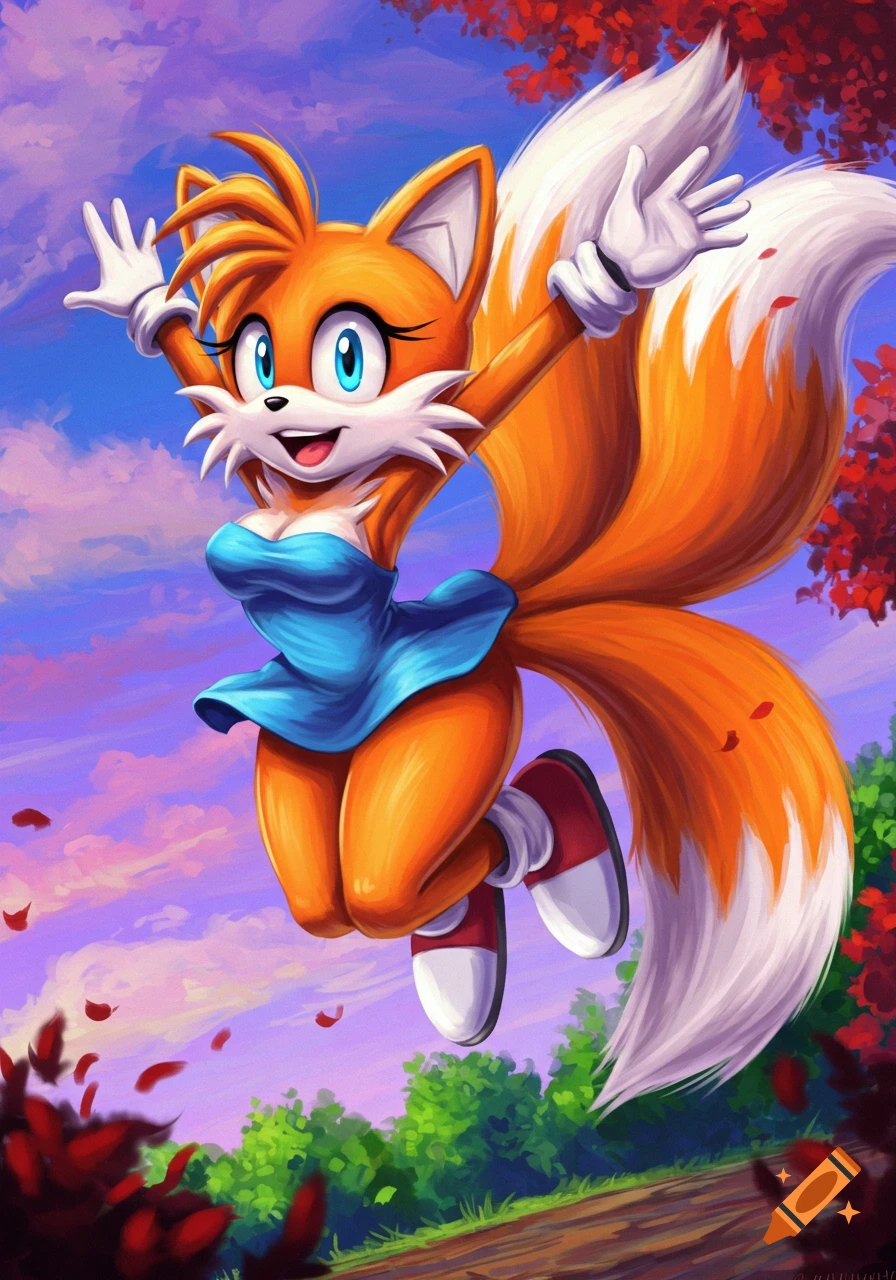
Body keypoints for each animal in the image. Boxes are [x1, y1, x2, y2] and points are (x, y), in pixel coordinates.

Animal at [64, 30, 896, 1111]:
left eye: (349, 354)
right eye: (252, 355)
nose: (278, 404)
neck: (311, 499)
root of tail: (499, 610)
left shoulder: (412, 476)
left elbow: (502, 380)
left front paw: (632, 255)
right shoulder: (263, 470)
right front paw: (139, 292)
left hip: (455, 715)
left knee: (381, 880)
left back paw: (562, 833)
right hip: (295, 763)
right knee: (328, 899)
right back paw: (468, 951)